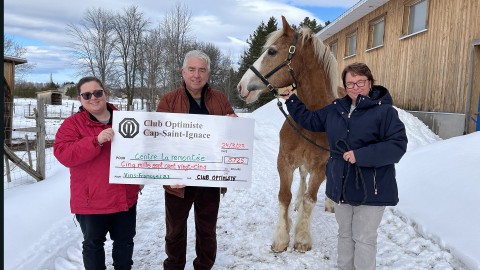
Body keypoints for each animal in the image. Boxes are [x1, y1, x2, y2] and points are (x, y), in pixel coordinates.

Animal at [236, 16, 338, 253]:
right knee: (302, 178)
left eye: (272, 52)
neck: (311, 119)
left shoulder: (320, 165)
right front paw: (281, 238)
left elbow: (311, 198)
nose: (241, 86)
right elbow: (285, 196)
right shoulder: (284, 161)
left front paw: (302, 238)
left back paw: (329, 203)